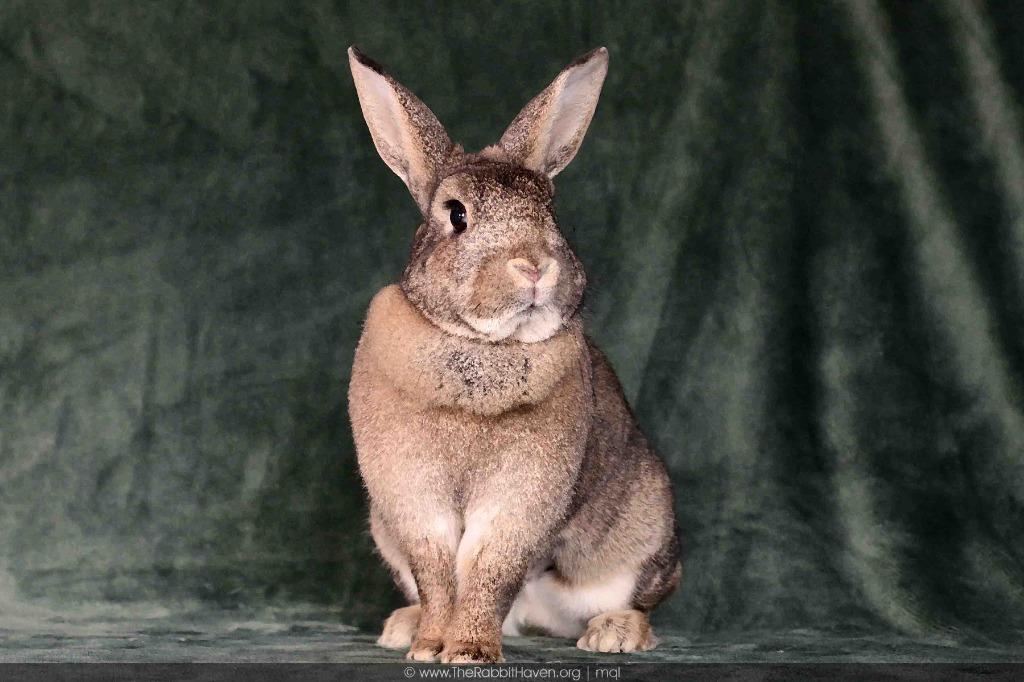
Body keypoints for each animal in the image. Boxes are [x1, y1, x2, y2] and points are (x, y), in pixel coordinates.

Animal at [347, 45, 681, 664]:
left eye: (551, 212)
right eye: (456, 214)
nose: (534, 265)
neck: (482, 343)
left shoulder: (520, 499)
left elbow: (488, 568)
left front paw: (469, 651)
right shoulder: (410, 496)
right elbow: (439, 573)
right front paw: (429, 646)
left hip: (643, 537)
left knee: (642, 605)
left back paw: (613, 635)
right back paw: (402, 626)